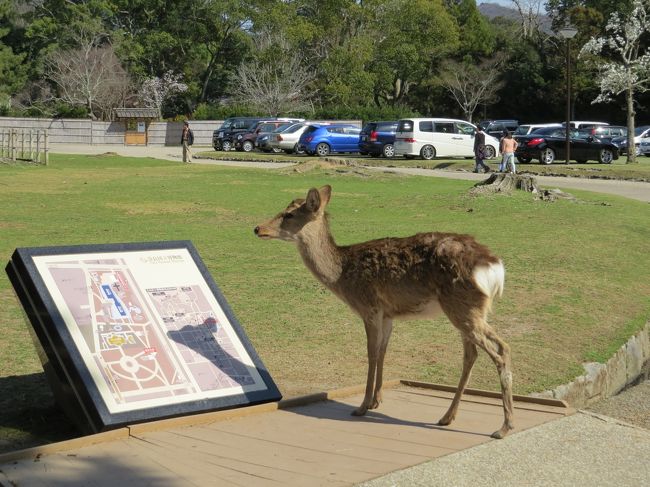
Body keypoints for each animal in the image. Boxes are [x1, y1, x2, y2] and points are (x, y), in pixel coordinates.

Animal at [254, 185, 513, 439]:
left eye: (289, 214)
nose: (257, 228)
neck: (341, 275)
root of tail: (494, 268)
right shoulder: (389, 314)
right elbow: (382, 351)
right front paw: (376, 401)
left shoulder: (369, 307)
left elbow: (370, 353)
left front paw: (362, 406)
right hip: (469, 310)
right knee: (474, 354)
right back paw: (447, 417)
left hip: (462, 307)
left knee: (501, 349)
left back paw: (503, 427)